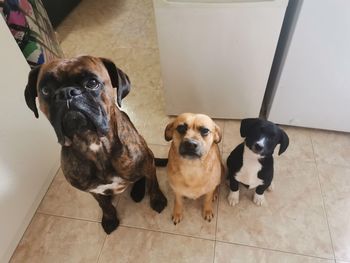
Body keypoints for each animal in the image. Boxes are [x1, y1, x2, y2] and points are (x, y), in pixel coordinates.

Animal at [23, 55, 167, 235]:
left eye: (92, 83)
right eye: (45, 90)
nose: (66, 93)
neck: (93, 142)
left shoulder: (147, 164)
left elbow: (153, 183)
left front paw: (157, 200)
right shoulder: (92, 190)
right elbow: (103, 205)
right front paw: (110, 218)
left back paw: (138, 191)